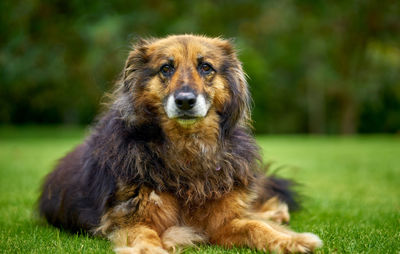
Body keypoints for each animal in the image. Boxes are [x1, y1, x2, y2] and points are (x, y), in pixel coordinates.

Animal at [39, 34, 322, 253]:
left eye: (206, 67)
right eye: (166, 68)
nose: (185, 101)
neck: (188, 149)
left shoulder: (222, 222)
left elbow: (255, 225)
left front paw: (290, 240)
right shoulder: (132, 219)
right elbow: (144, 236)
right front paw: (152, 249)